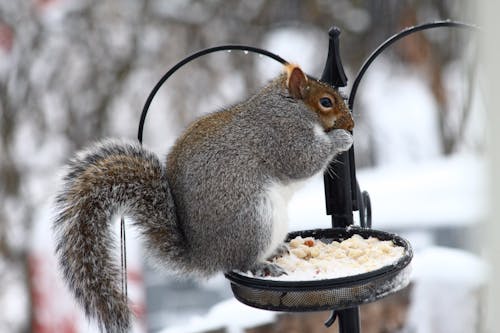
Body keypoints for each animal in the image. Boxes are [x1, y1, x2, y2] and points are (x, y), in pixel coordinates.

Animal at [52, 63, 354, 330]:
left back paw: (277, 250)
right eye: (326, 102)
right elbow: (304, 161)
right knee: (240, 262)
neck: (288, 107)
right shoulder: (282, 137)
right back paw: (262, 265)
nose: (351, 124)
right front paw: (341, 140)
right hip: (256, 220)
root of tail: (205, 256)